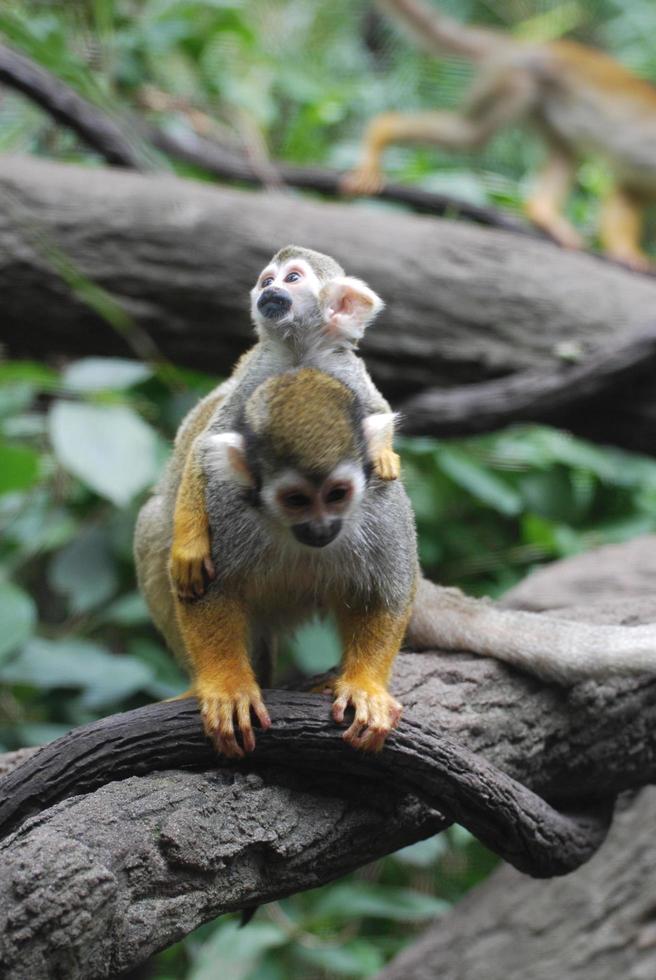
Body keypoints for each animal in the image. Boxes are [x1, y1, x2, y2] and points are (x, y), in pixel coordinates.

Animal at [136, 368, 418, 756]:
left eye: (338, 494)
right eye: (296, 500)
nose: (320, 528)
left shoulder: (381, 504)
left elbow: (386, 592)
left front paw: (365, 687)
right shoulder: (225, 505)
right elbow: (208, 590)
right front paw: (228, 686)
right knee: (153, 526)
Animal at [168, 243, 400, 604]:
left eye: (291, 278)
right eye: (266, 281)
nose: (269, 290)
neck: (297, 351)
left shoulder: (342, 365)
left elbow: (378, 409)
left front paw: (385, 455)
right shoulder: (258, 369)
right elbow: (208, 443)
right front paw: (189, 547)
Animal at [344, 0, 656, 270]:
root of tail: (522, 46)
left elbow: (629, 189)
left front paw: (626, 252)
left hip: (538, 101)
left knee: (564, 150)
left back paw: (543, 212)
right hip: (511, 81)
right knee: (472, 134)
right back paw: (382, 129)